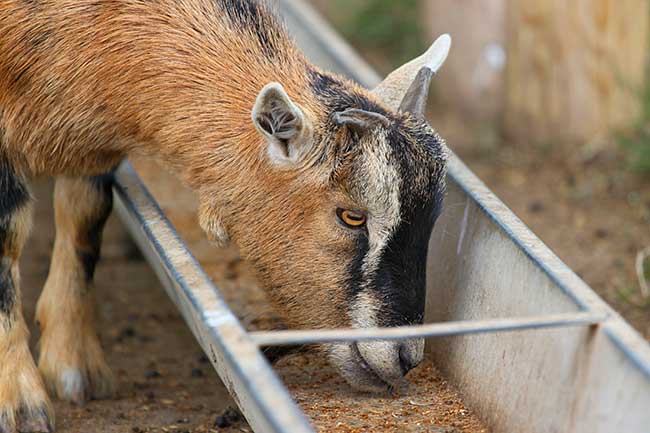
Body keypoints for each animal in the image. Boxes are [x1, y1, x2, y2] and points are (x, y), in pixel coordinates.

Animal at [0, 1, 448, 430]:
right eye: (351, 216)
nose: (406, 356)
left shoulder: (91, 143)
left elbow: (84, 219)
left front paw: (74, 365)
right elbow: (7, 245)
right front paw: (22, 403)